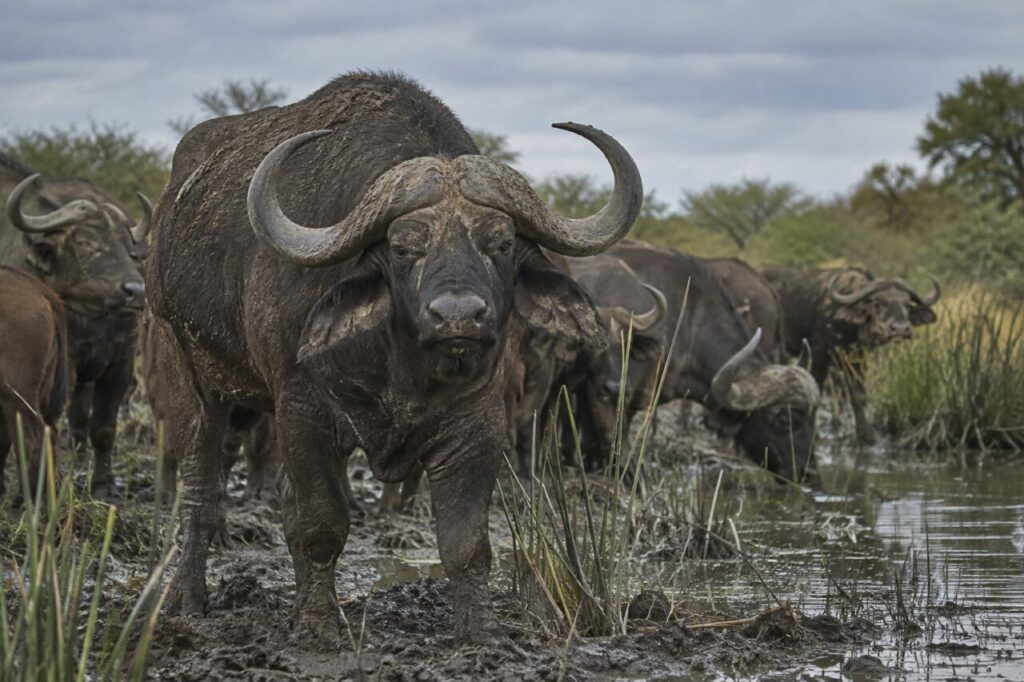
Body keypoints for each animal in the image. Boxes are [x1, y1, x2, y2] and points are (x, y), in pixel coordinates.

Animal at [147, 71, 643, 644]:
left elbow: (465, 541)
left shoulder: (479, 421)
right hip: (187, 370)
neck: (403, 362)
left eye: (499, 242)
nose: (458, 316)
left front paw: (480, 631)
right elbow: (321, 523)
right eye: (405, 246)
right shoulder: (302, 412)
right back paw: (187, 598)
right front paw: (319, 624)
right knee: (200, 493)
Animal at [761, 266, 939, 443]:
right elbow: (817, 389)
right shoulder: (819, 356)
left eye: (907, 304)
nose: (901, 329)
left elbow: (859, 395)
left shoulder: (858, 360)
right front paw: (815, 434)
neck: (851, 327)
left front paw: (866, 434)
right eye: (877, 303)